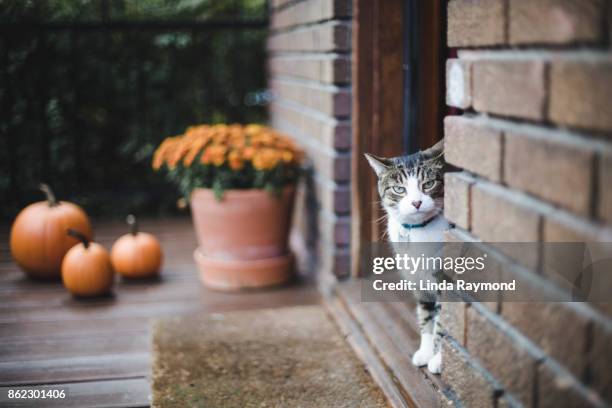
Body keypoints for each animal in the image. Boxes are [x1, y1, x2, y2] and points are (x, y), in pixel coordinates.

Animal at [364, 139, 450, 372]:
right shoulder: (418, 282)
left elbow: (442, 323)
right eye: (399, 189)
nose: (416, 203)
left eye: (428, 184)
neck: (420, 231)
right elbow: (426, 318)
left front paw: (438, 359)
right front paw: (425, 352)